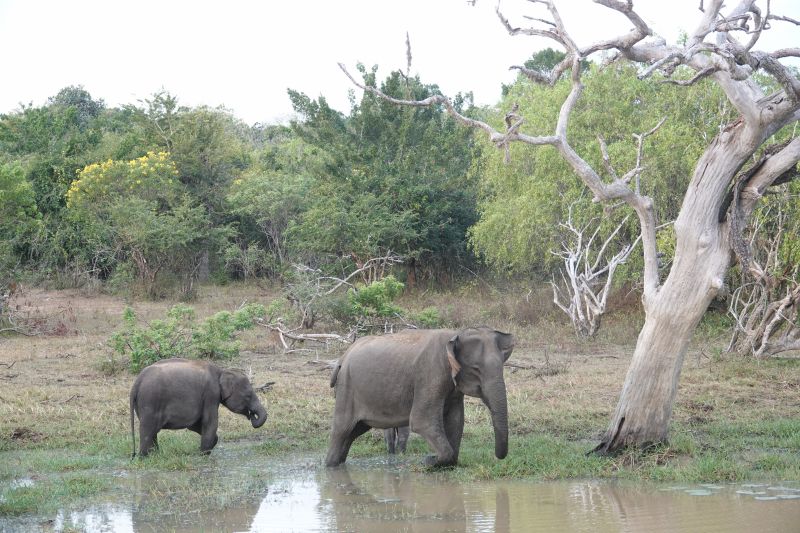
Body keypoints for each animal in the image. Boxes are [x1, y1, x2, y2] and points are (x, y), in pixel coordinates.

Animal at [129, 358, 267, 457]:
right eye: (248, 396)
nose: (251, 415)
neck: (221, 371)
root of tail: (137, 382)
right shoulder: (211, 394)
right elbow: (210, 421)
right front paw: (204, 454)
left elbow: (194, 425)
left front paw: (207, 447)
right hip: (150, 401)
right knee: (148, 429)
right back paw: (144, 457)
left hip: (142, 404)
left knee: (152, 430)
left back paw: (154, 455)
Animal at [326, 327, 513, 467]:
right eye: (476, 369)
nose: (497, 457)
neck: (456, 334)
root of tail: (342, 358)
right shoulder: (431, 373)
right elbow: (422, 421)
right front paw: (429, 461)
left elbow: (456, 421)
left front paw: (441, 462)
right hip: (347, 389)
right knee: (342, 430)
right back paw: (331, 466)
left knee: (354, 431)